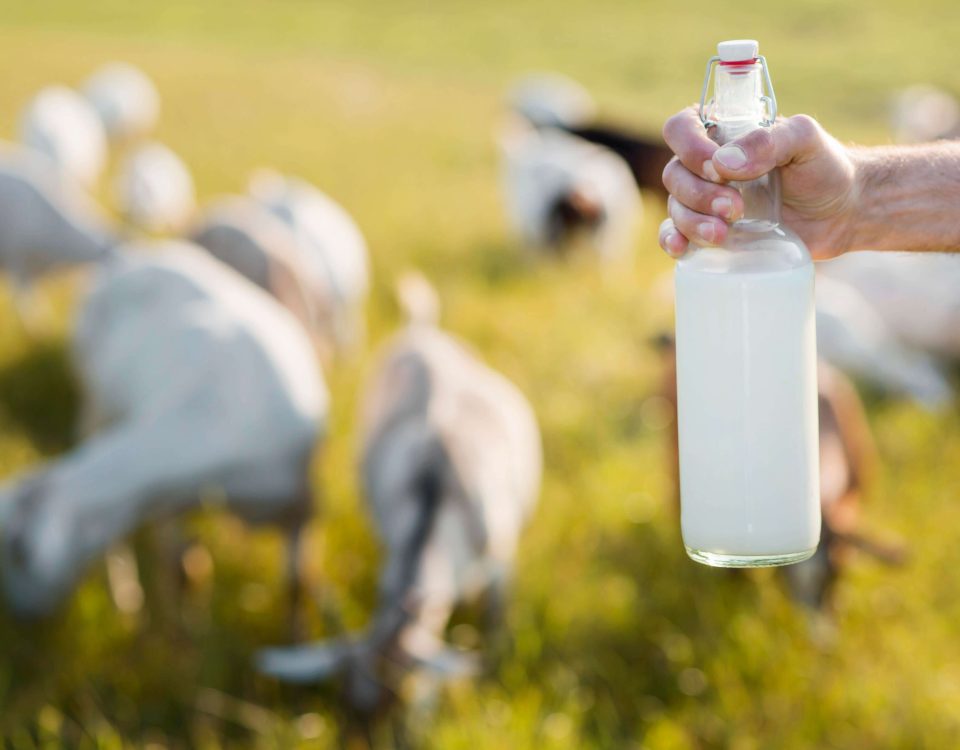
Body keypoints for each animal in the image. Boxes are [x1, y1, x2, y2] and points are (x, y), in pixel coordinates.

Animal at [255, 276, 540, 716]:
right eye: (343, 704)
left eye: (398, 700)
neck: (437, 493)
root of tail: (419, 330)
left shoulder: (500, 562)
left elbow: (494, 620)